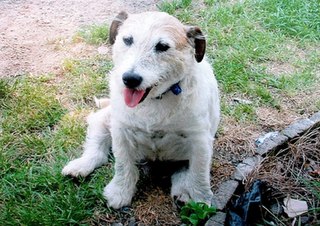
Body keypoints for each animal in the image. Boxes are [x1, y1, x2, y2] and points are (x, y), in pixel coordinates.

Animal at [62, 10, 220, 208]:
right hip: (104, 121)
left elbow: (199, 174)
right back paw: (81, 165)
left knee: (184, 169)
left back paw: (183, 192)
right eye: (127, 40)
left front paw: (200, 200)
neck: (155, 100)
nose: (129, 79)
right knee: (97, 150)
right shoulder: (121, 132)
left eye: (162, 46)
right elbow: (123, 165)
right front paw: (120, 192)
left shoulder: (200, 141)